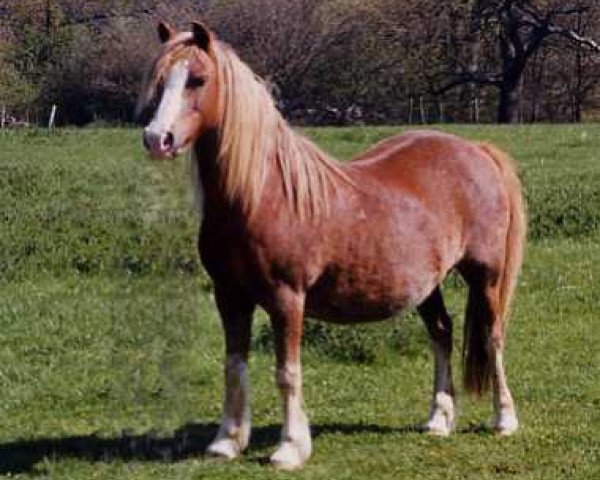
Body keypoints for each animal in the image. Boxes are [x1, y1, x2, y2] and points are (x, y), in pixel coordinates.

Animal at [136, 21, 524, 468]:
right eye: (160, 80)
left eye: (198, 79)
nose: (157, 139)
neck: (260, 195)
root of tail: (476, 149)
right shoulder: (229, 296)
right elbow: (234, 365)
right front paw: (227, 442)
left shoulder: (287, 298)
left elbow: (287, 373)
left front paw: (290, 447)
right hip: (427, 285)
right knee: (441, 332)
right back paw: (438, 420)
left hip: (485, 275)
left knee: (493, 336)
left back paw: (504, 420)